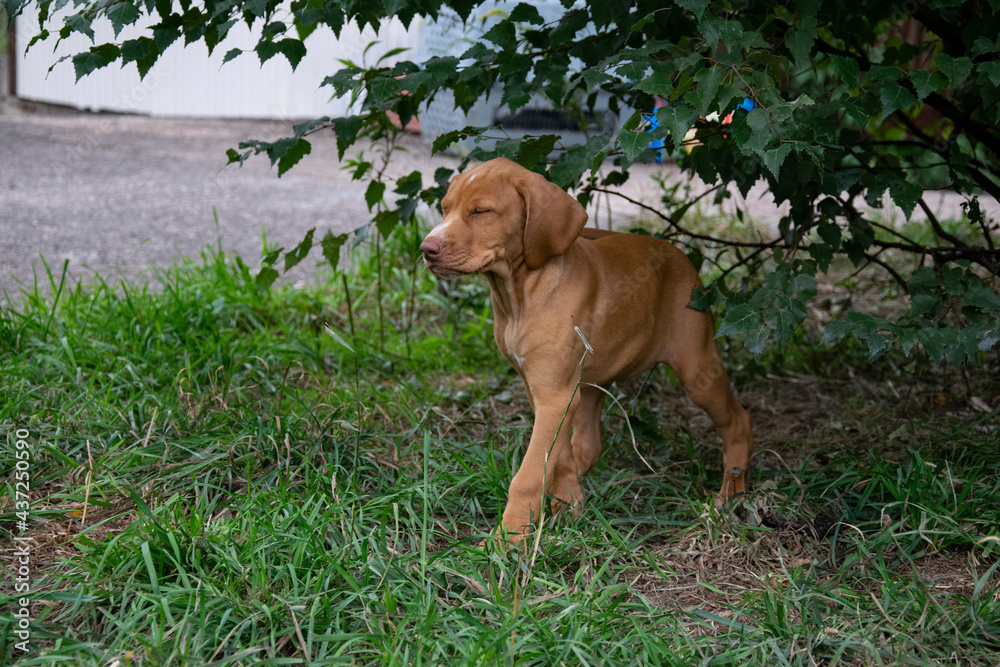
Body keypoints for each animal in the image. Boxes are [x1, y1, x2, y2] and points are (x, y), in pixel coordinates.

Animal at [418, 159, 752, 540]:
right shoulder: (546, 392)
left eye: (481, 211)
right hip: (592, 379)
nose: (427, 249)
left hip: (697, 368)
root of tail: (678, 252)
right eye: (445, 209)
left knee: (738, 421)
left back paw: (731, 496)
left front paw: (510, 537)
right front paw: (568, 505)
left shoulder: (555, 395)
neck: (520, 295)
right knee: (589, 443)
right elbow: (555, 454)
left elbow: (530, 473)